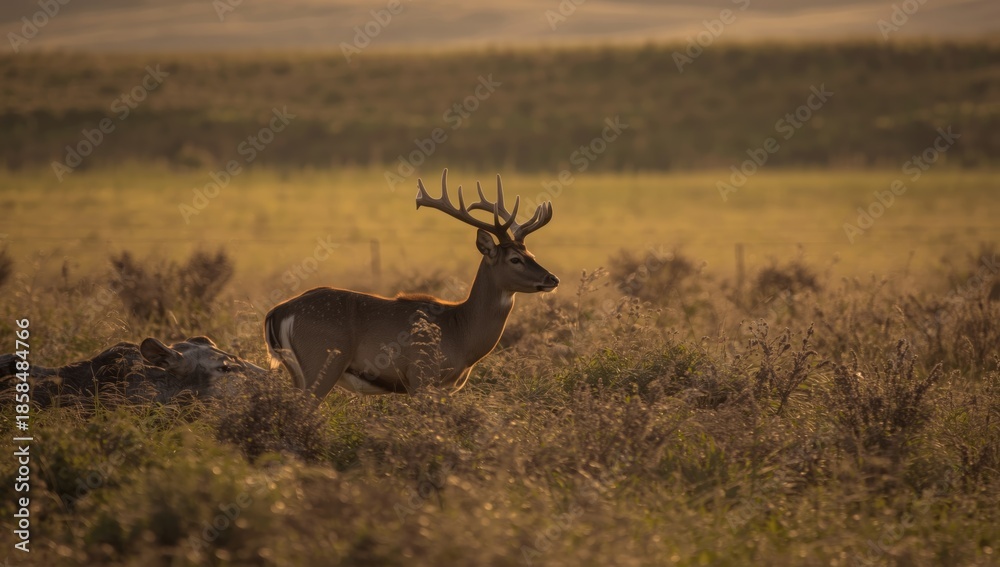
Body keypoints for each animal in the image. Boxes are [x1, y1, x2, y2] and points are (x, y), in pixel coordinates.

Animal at [264, 168, 559, 399]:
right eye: (514, 259)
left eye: (532, 255)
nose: (552, 279)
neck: (460, 333)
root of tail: (277, 311)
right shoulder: (421, 375)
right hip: (321, 362)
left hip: (298, 371)